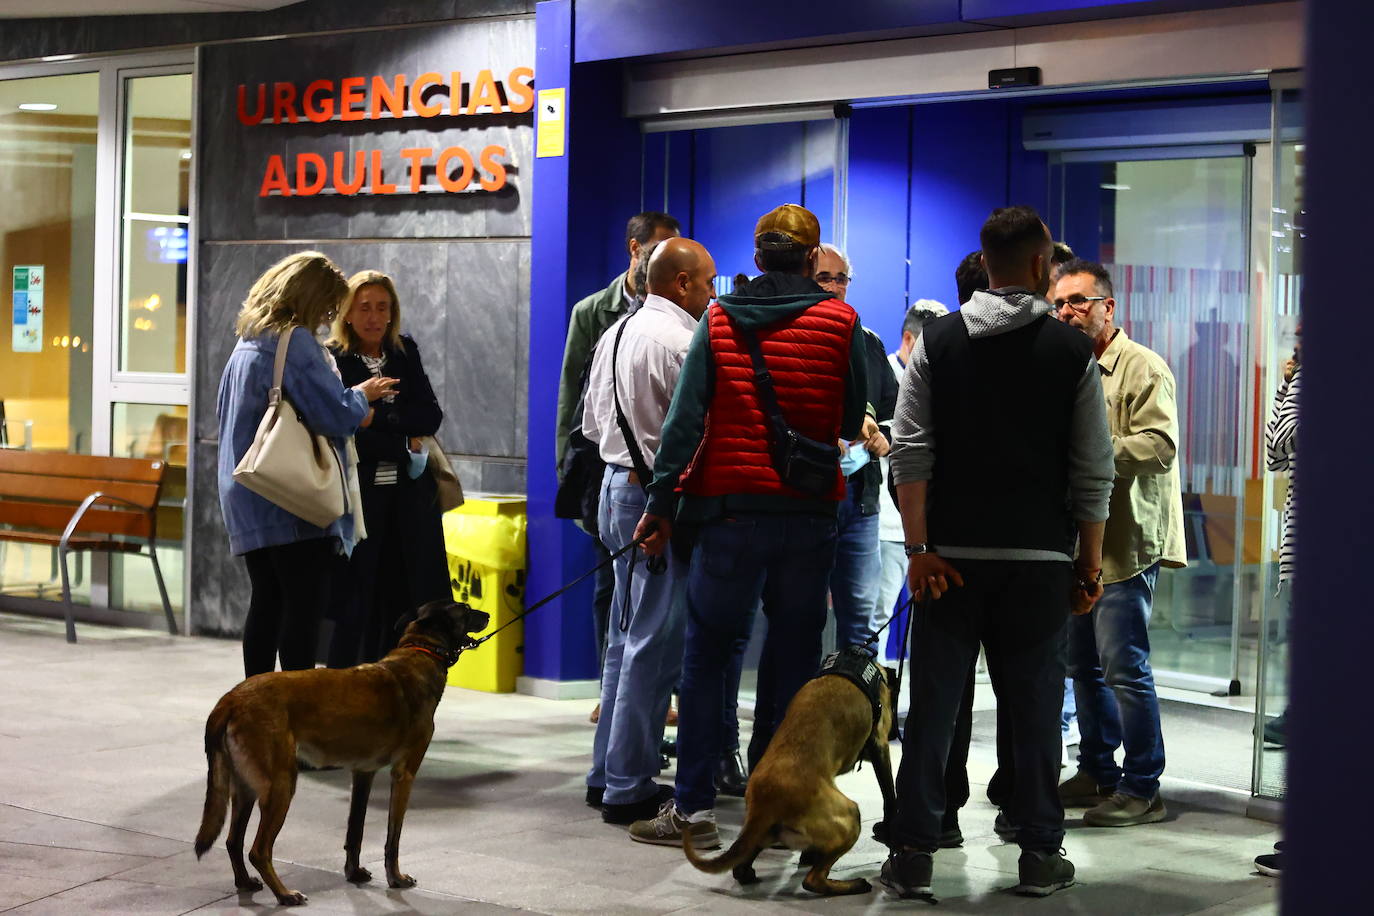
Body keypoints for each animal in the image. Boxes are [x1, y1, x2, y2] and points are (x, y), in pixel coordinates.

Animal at [193, 598, 489, 906]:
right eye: (466, 610)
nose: (488, 615)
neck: (420, 650)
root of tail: (231, 700)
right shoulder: (404, 774)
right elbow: (393, 837)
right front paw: (395, 878)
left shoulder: (363, 774)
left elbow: (355, 830)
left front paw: (354, 872)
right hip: (280, 785)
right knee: (258, 850)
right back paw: (284, 894)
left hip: (246, 788)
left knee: (233, 840)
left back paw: (245, 882)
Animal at [681, 656, 895, 900]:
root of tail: (764, 804)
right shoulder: (879, 745)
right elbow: (890, 795)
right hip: (850, 815)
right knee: (812, 880)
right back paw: (853, 885)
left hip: (763, 835)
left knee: (741, 868)